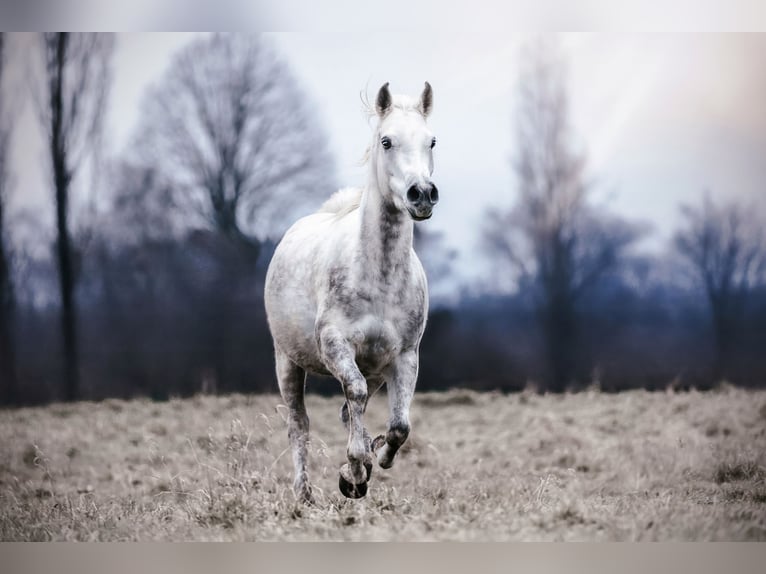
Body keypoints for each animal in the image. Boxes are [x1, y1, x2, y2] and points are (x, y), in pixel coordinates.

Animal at [264, 82, 439, 502]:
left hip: (375, 368)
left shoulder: (403, 357)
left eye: (432, 141)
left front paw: (376, 458)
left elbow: (399, 425)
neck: (379, 278)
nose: (422, 194)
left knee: (349, 411)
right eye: (386, 141)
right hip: (286, 361)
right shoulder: (335, 346)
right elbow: (354, 396)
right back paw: (304, 495)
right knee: (299, 424)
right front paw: (355, 471)